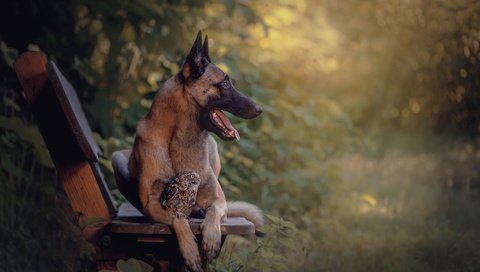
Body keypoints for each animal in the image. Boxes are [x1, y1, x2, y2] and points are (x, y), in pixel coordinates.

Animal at [125, 31, 264, 270]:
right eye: (224, 83)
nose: (259, 109)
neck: (180, 140)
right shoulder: (151, 204)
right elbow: (177, 217)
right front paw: (190, 250)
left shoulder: (218, 200)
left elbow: (214, 211)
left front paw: (211, 238)